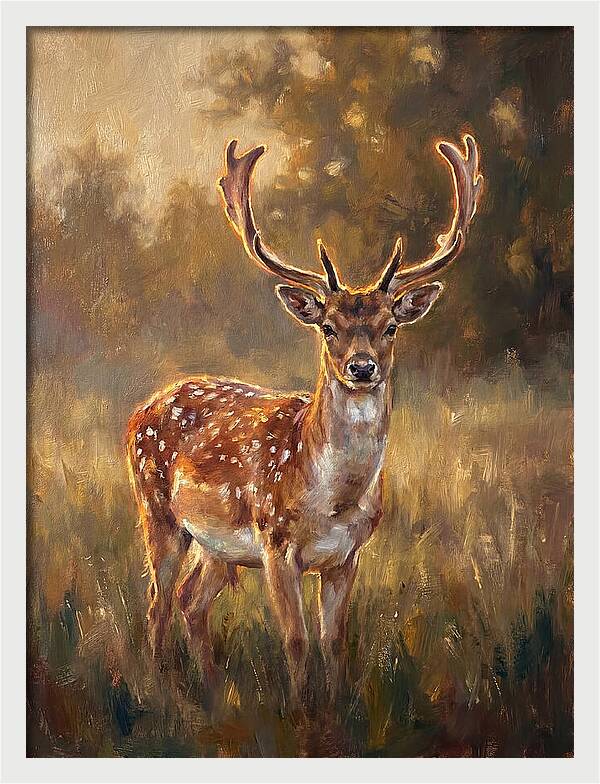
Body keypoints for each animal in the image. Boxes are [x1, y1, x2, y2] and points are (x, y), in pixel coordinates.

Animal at [126, 134, 482, 706]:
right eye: (328, 327)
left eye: (390, 326)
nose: (362, 367)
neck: (333, 502)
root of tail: (143, 408)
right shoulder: (275, 544)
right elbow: (295, 640)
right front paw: (299, 712)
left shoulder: (347, 556)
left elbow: (334, 641)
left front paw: (334, 709)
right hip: (157, 512)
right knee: (157, 602)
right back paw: (164, 691)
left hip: (217, 547)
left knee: (189, 600)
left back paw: (213, 692)